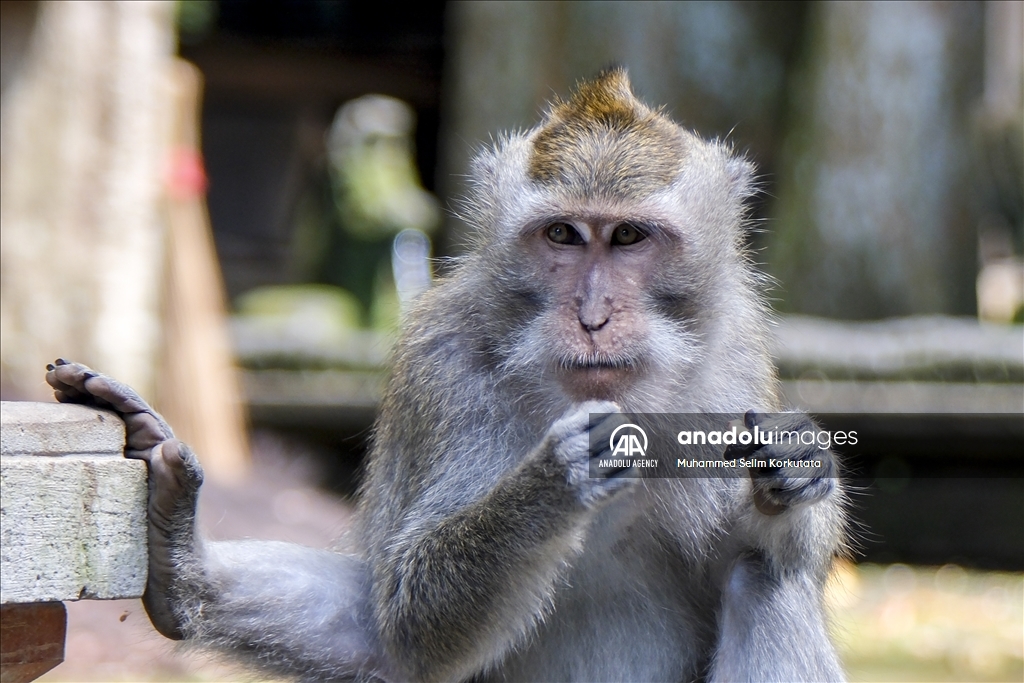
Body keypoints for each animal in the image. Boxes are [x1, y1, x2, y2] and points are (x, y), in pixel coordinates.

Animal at [46, 70, 847, 683]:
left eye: (627, 236)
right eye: (563, 235)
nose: (591, 316)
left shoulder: (733, 358)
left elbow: (779, 552)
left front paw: (800, 464)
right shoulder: (443, 367)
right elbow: (414, 619)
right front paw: (555, 478)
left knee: (762, 580)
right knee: (380, 639)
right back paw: (184, 571)